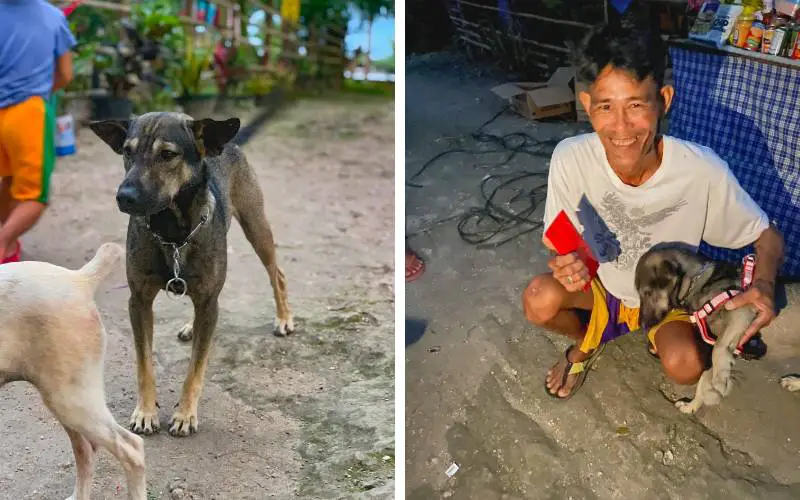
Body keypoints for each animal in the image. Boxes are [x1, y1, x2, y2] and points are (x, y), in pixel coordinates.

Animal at [636, 246, 756, 414]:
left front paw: (721, 377)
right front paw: (693, 405)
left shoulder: (740, 312)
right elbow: (704, 380)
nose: (642, 325)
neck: (697, 282)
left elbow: (719, 349)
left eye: (647, 293)